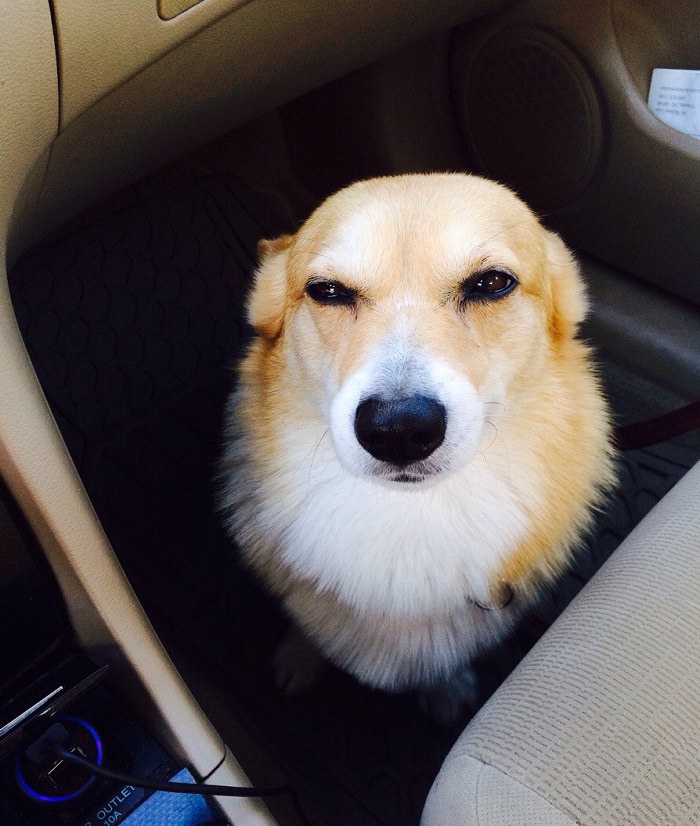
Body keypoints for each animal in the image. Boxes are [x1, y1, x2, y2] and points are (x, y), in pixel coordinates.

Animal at [217, 172, 612, 720]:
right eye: (327, 291)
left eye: (492, 284)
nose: (398, 429)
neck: (409, 516)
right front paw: (299, 657)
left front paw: (447, 691)